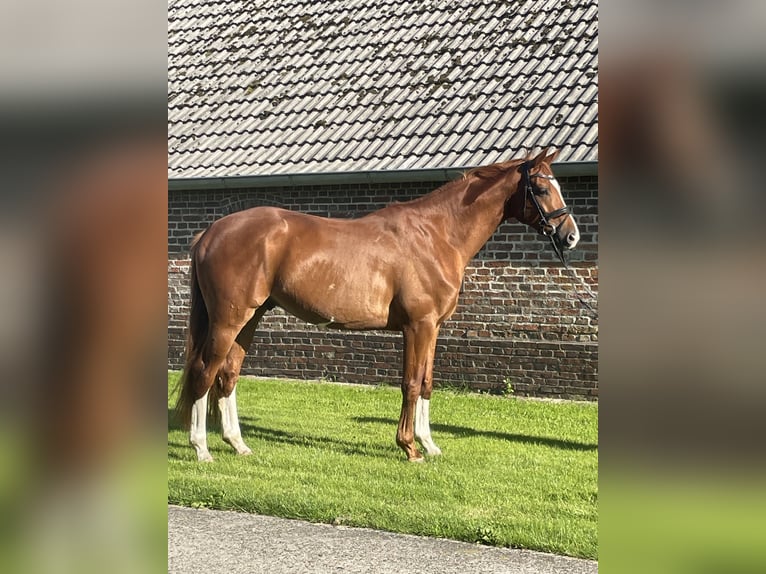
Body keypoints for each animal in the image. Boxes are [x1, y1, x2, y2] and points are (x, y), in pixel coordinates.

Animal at [176, 148, 584, 464]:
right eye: (542, 188)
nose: (571, 236)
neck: (436, 234)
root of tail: (210, 233)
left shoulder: (434, 327)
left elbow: (427, 383)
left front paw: (429, 445)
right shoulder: (418, 326)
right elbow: (411, 384)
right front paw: (409, 448)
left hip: (250, 318)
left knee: (227, 376)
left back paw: (238, 445)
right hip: (228, 320)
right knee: (204, 373)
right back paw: (201, 449)